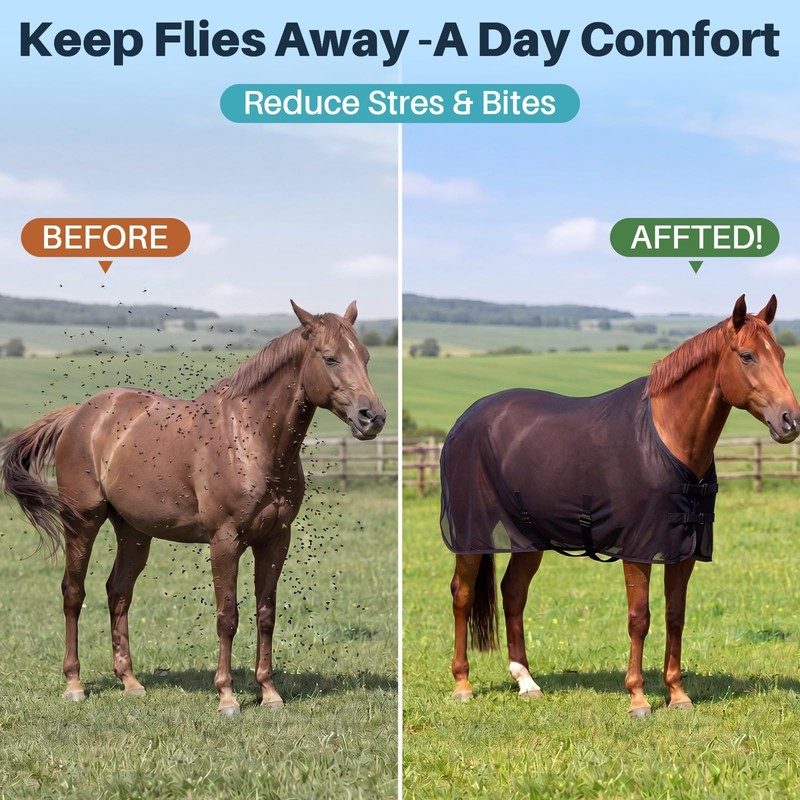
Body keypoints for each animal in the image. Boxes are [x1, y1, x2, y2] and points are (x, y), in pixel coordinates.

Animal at [1, 300, 385, 715]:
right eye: (330, 358)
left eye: (365, 357)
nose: (372, 417)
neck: (250, 439)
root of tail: (78, 416)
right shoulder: (225, 541)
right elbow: (227, 616)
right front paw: (227, 697)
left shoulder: (275, 540)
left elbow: (266, 614)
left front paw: (269, 693)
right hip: (83, 521)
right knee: (73, 593)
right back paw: (74, 684)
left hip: (133, 531)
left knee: (118, 592)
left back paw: (130, 682)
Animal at [440, 295, 800, 716]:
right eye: (746, 356)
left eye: (780, 354)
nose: (790, 420)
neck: (666, 438)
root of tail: (465, 422)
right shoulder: (638, 549)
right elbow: (639, 618)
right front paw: (638, 698)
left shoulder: (684, 550)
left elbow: (675, 616)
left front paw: (678, 694)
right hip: (471, 536)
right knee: (462, 595)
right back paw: (462, 684)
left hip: (528, 538)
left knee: (513, 593)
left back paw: (526, 681)